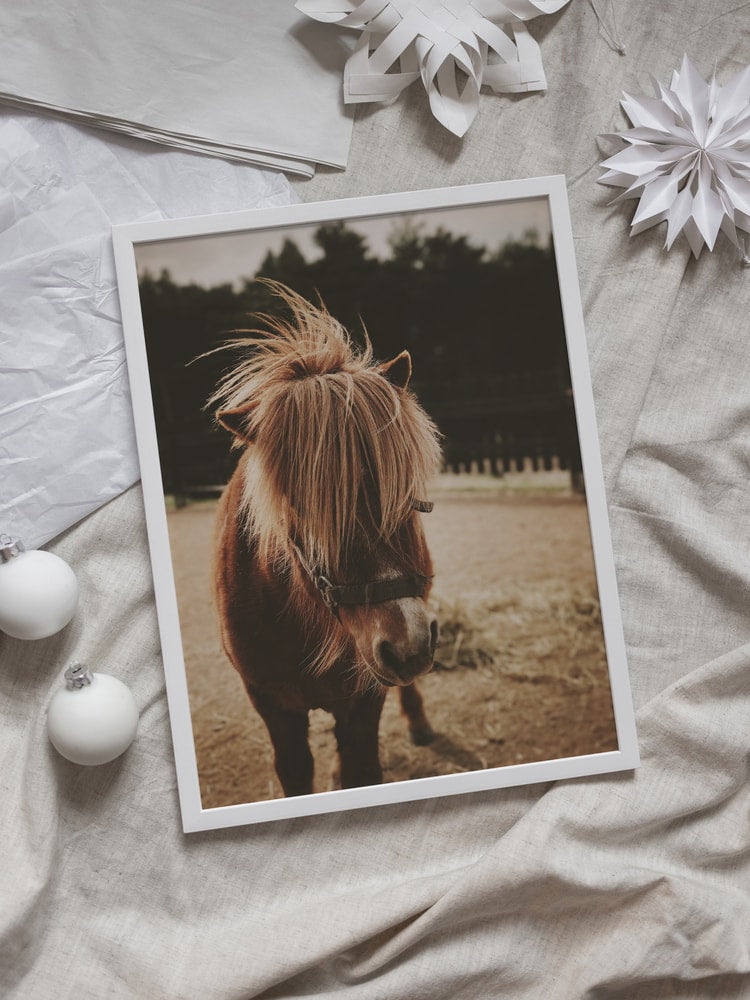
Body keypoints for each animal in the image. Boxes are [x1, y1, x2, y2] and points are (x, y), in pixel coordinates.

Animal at [210, 281, 443, 797]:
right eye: (302, 508)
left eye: (405, 490)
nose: (407, 645)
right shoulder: (273, 708)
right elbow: (296, 773)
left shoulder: (366, 699)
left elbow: (363, 768)